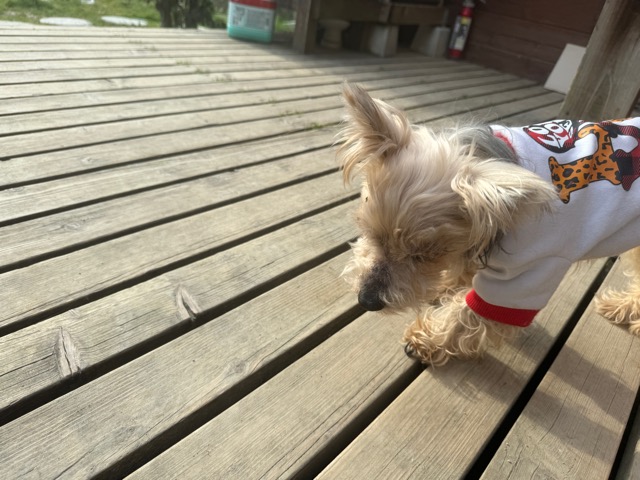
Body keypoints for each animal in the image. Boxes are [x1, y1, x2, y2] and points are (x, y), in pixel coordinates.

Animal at [338, 82, 640, 366]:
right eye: (370, 233)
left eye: (425, 255)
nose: (367, 300)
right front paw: (446, 285)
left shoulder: (531, 267)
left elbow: (471, 313)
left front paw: (426, 341)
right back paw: (620, 308)